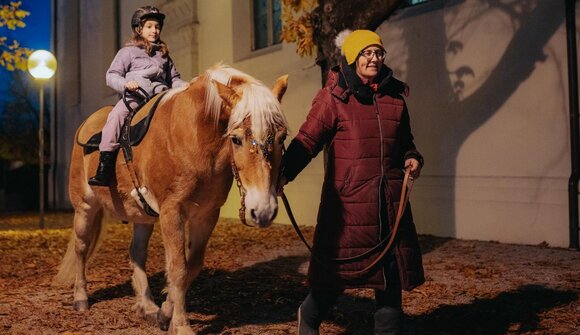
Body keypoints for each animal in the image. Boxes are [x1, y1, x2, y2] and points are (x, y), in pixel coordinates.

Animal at [54, 63, 290, 335]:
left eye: (282, 137)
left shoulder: (206, 214)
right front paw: (181, 325)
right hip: (85, 206)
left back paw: (147, 306)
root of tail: (86, 124)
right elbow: (178, 268)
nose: (263, 211)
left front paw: (165, 312)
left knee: (136, 253)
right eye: (236, 139)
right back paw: (80, 297)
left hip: (142, 217)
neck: (193, 135)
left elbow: (192, 266)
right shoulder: (172, 212)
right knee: (81, 248)